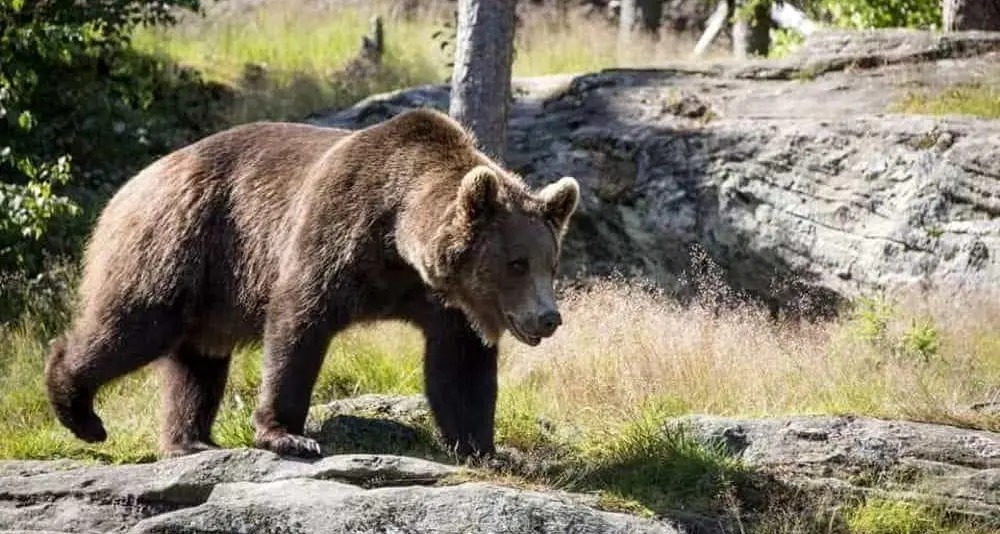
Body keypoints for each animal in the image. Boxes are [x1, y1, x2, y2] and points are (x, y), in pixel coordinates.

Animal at [43, 107, 580, 460]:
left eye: (551, 263)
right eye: (516, 263)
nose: (548, 318)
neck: (397, 239)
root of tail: (135, 181)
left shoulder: (443, 301)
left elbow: (460, 367)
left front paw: (487, 448)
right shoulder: (334, 233)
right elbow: (298, 325)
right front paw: (289, 434)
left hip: (210, 289)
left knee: (198, 360)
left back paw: (190, 439)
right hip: (179, 243)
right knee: (135, 325)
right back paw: (79, 411)